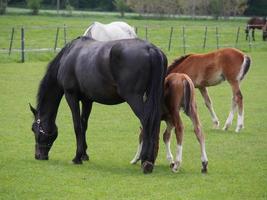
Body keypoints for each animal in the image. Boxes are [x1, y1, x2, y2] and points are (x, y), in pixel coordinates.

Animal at [29, 36, 168, 173]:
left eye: (34, 129)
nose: (38, 156)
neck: (68, 55)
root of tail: (151, 49)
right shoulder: (87, 100)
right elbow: (84, 125)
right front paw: (84, 155)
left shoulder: (71, 96)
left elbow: (77, 126)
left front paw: (77, 157)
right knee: (154, 122)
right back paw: (150, 160)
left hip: (134, 97)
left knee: (146, 121)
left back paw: (145, 161)